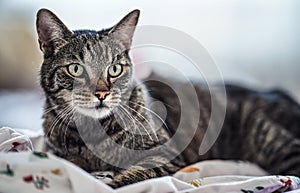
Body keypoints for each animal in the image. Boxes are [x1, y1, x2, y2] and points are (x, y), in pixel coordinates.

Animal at [36, 8, 300, 188]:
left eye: (115, 69)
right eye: (76, 69)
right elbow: (72, 162)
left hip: (269, 137)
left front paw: (106, 182)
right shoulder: (56, 152)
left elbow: (131, 176)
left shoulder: (164, 153)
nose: (102, 93)